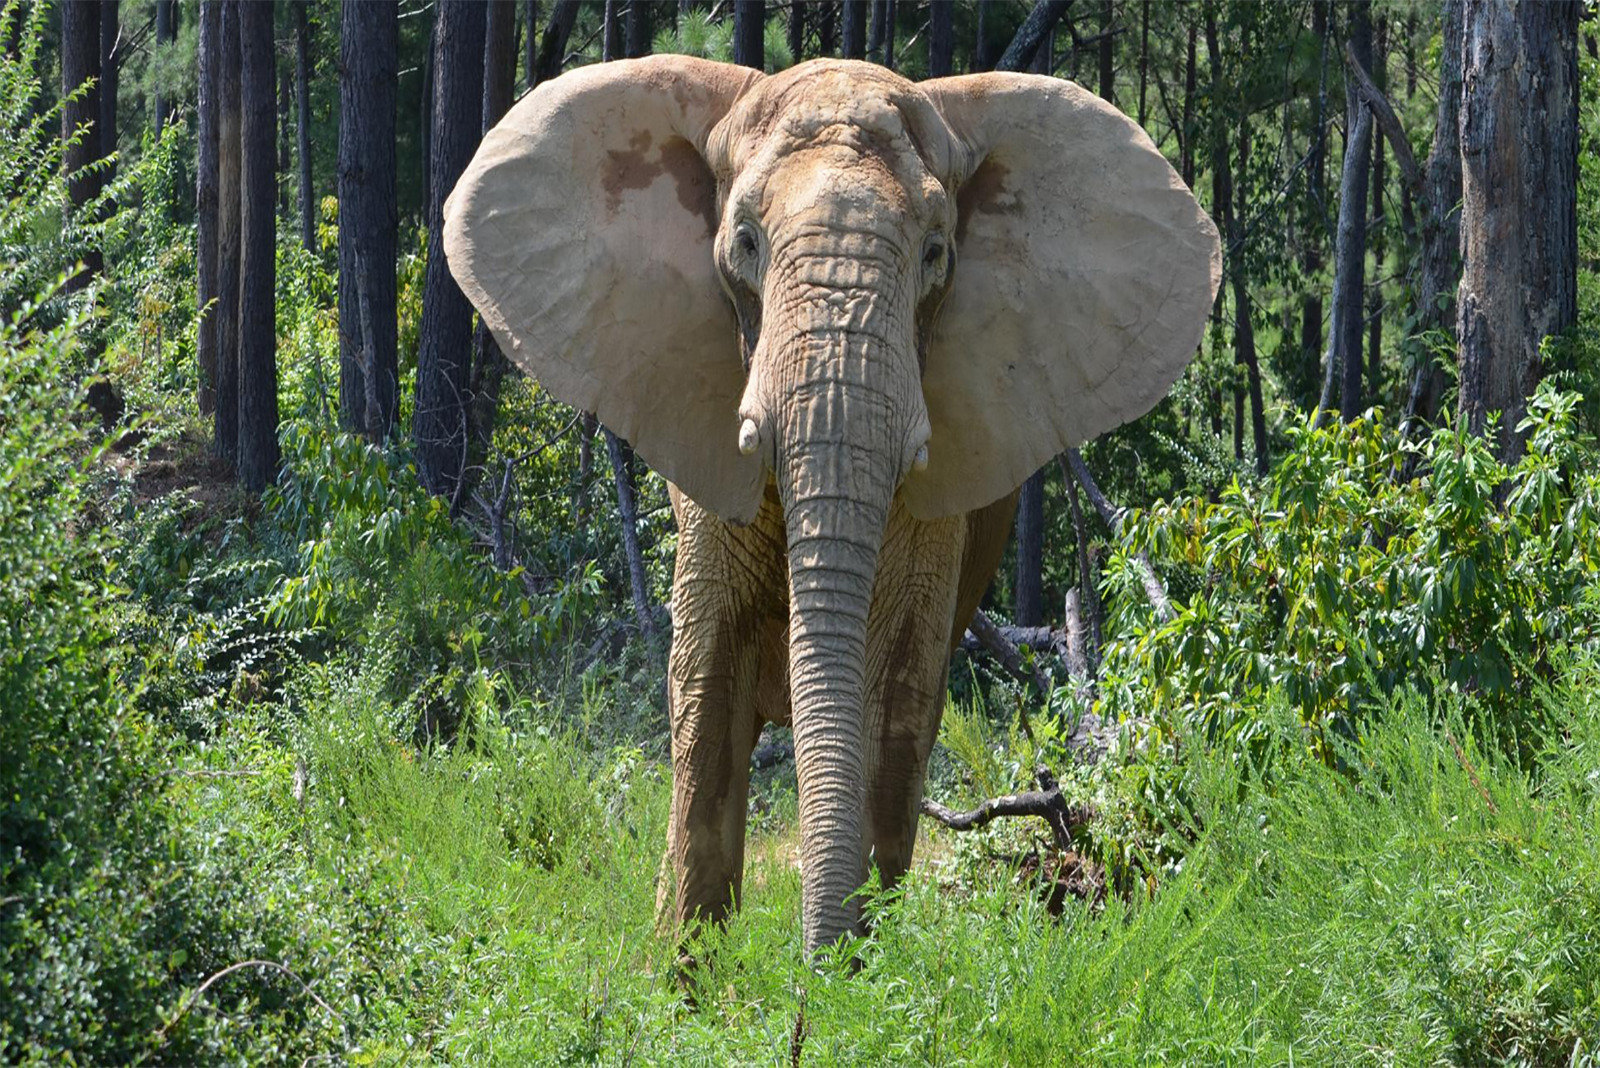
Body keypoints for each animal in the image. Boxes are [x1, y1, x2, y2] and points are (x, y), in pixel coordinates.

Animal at [438, 56, 1209, 952]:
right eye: (744, 244)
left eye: (937, 254)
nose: (817, 966)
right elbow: (705, 690)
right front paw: (686, 978)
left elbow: (896, 695)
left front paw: (864, 976)